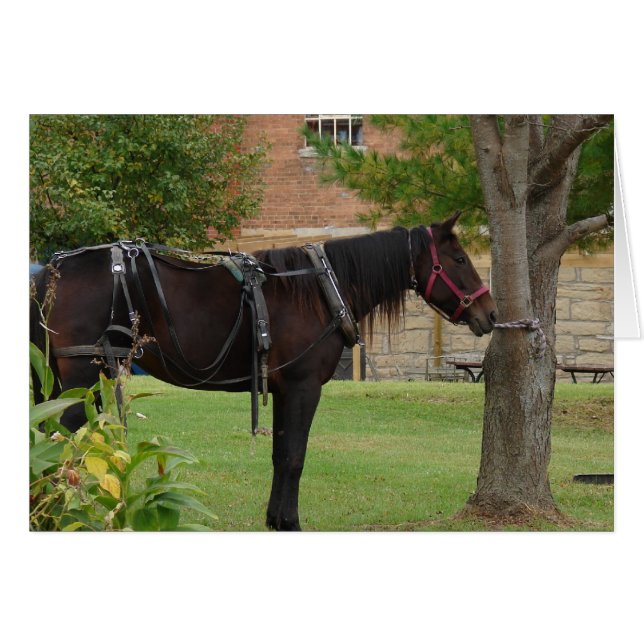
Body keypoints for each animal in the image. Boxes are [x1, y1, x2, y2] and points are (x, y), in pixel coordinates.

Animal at [30, 211, 497, 530]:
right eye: (459, 258)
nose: (490, 314)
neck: (319, 290)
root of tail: (54, 269)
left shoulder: (284, 388)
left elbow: (279, 454)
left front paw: (275, 519)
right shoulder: (304, 387)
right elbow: (294, 457)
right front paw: (290, 522)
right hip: (80, 381)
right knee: (58, 446)